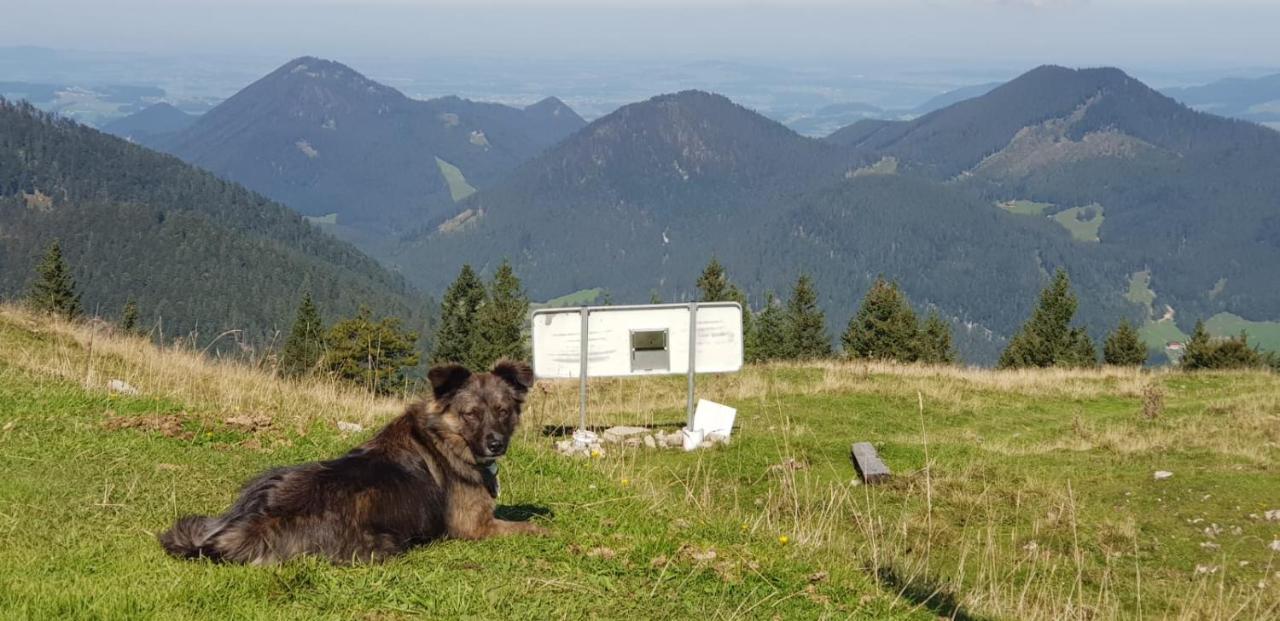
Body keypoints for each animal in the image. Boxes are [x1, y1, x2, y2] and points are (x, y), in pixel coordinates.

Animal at [158, 355, 545, 563]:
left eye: (503, 411)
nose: (496, 444)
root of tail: (255, 520)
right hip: (385, 544)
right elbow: (531, 528)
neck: (444, 436)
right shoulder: (475, 527)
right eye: (471, 414)